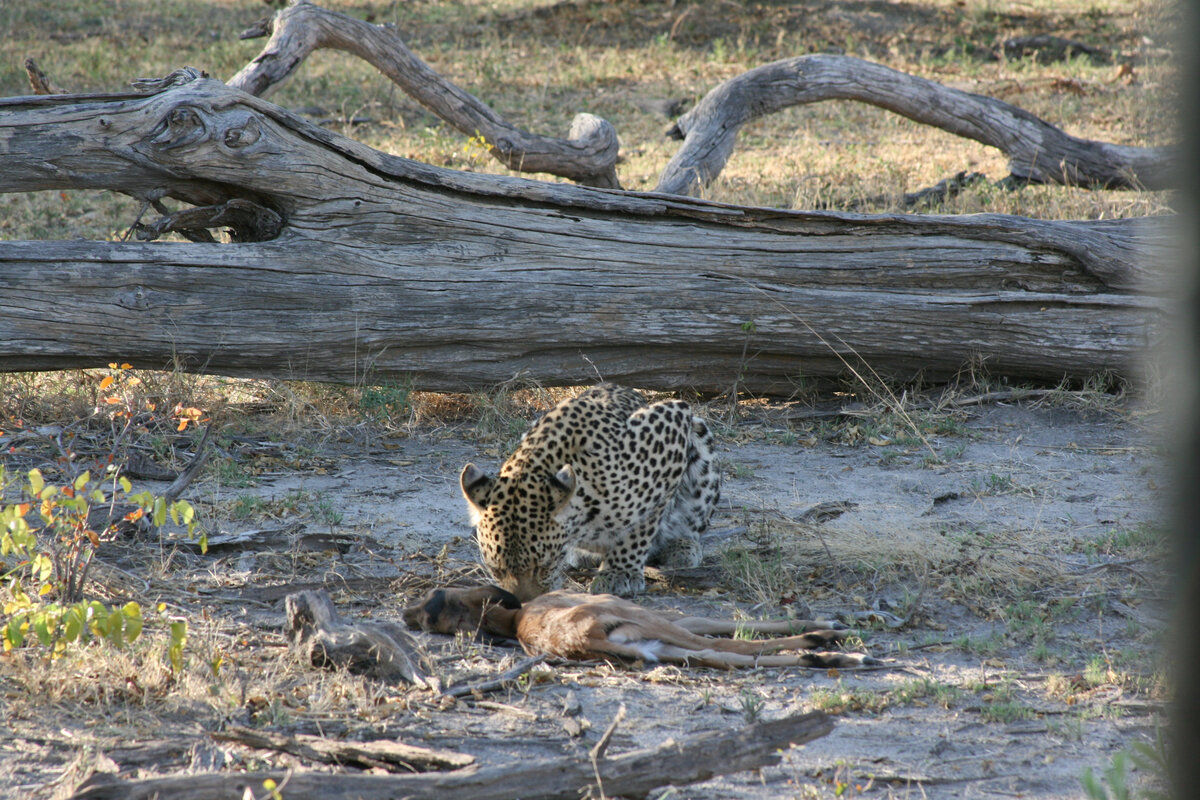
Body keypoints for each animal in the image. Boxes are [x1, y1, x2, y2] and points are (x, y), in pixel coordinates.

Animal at [460, 386, 720, 599]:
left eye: (543, 566)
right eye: (496, 570)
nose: (524, 603)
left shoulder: (671, 421)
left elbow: (640, 526)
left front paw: (619, 571)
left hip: (700, 437)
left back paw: (682, 546)